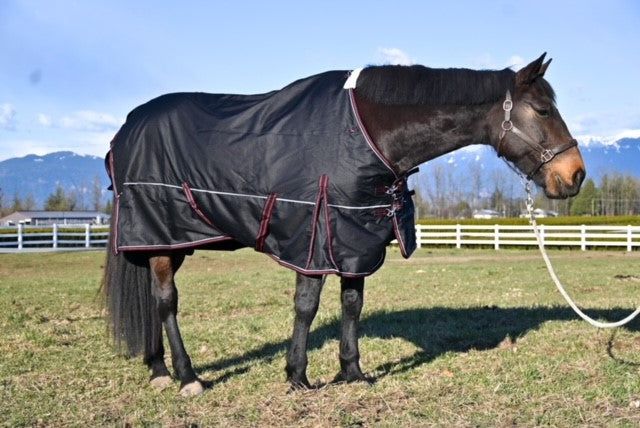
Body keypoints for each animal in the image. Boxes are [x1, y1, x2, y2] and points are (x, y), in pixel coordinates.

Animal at [102, 53, 585, 396]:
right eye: (543, 110)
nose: (575, 175)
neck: (369, 132)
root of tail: (124, 131)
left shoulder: (356, 238)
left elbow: (351, 305)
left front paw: (352, 372)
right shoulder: (312, 239)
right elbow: (307, 306)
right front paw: (298, 377)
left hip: (167, 242)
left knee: (152, 301)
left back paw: (158, 369)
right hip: (161, 237)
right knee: (166, 303)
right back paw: (187, 378)